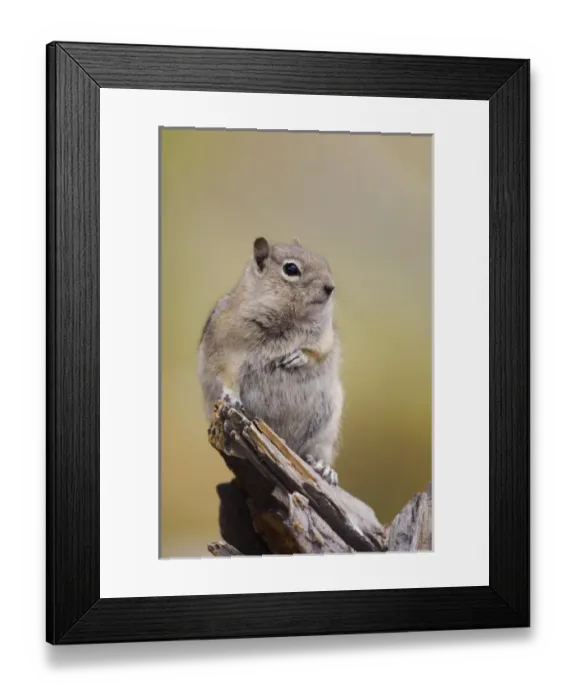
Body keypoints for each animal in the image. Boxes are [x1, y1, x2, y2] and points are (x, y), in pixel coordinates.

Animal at [196, 236, 343, 486]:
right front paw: (232, 396)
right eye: (291, 269)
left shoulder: (325, 337)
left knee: (317, 450)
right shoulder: (227, 351)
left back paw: (325, 468)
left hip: (326, 428)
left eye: (324, 262)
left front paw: (299, 356)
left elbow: (319, 351)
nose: (330, 287)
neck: (288, 320)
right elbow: (227, 375)